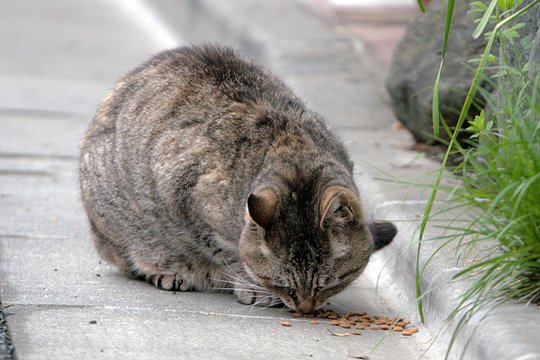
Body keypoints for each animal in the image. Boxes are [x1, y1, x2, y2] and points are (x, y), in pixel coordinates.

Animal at [78, 45, 394, 314]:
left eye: (329, 283)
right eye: (283, 284)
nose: (304, 308)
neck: (293, 154)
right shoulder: (186, 198)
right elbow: (231, 254)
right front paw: (252, 285)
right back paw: (170, 270)